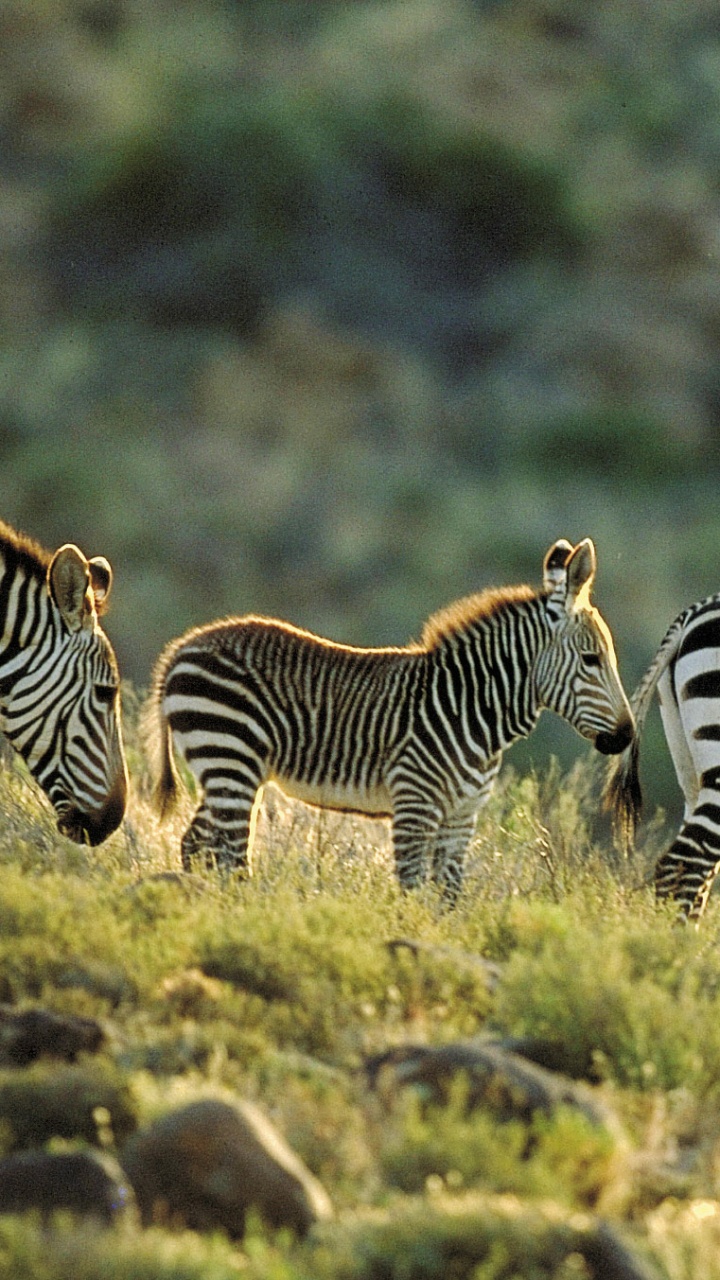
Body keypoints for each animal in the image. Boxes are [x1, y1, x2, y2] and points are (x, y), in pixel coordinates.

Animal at [144, 537, 633, 900]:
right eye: (592, 660)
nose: (627, 735)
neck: (471, 708)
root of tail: (181, 648)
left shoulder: (462, 817)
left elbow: (449, 901)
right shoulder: (415, 805)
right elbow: (413, 894)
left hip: (227, 767)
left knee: (196, 845)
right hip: (231, 758)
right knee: (230, 859)